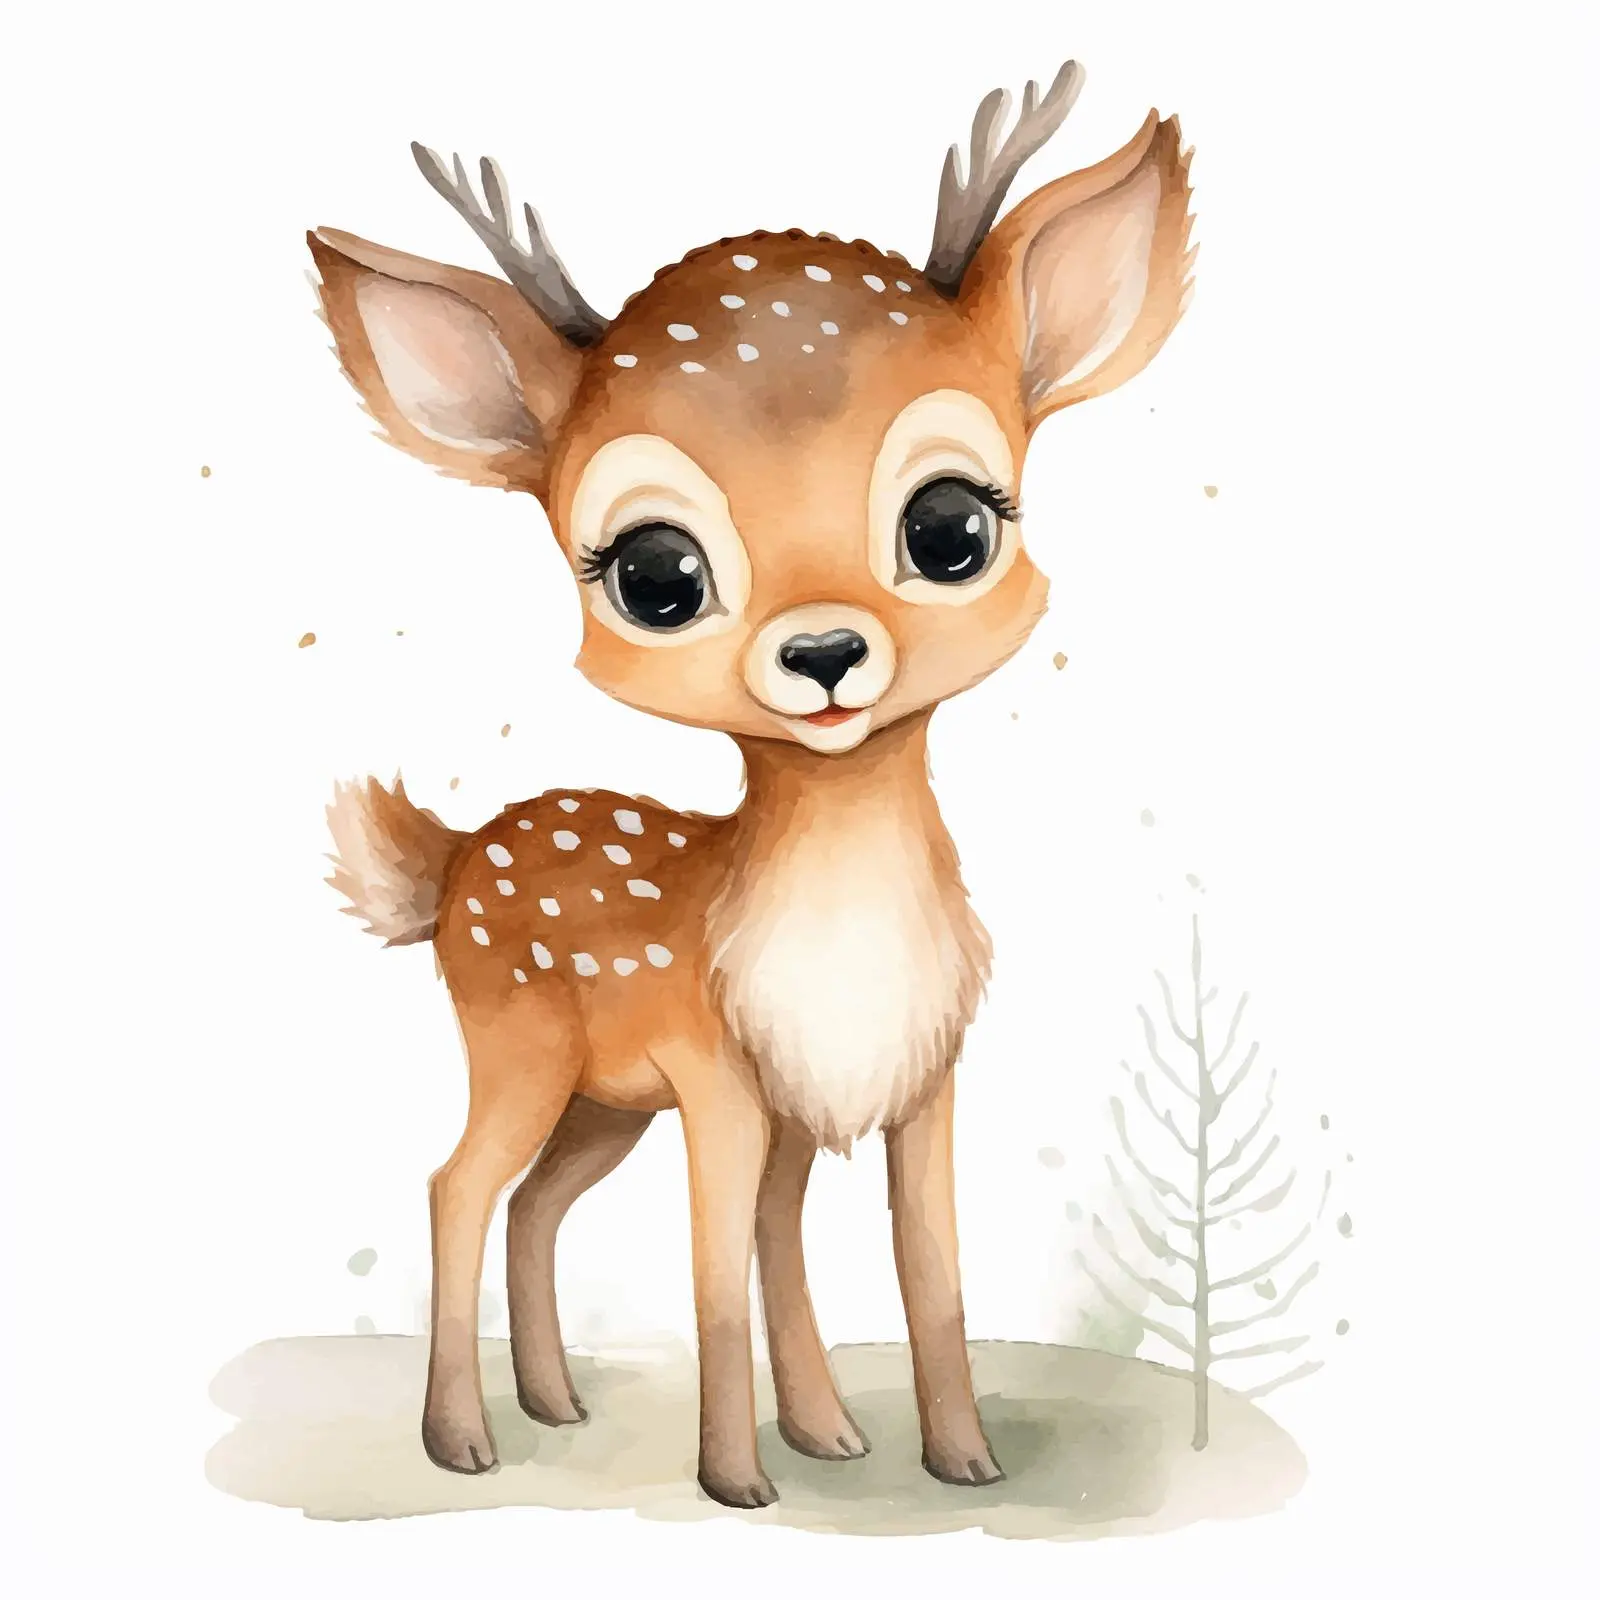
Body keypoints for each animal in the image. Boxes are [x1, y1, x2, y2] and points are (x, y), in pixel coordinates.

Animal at [312, 58, 1194, 1507]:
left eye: (953, 526)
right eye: (655, 574)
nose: (825, 653)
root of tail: (447, 864)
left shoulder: (902, 1082)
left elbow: (911, 1264)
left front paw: (925, 1453)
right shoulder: (721, 1076)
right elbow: (720, 1266)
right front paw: (741, 1477)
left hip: (602, 1104)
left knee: (536, 1200)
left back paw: (553, 1401)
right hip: (523, 1046)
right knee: (457, 1184)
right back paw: (461, 1439)